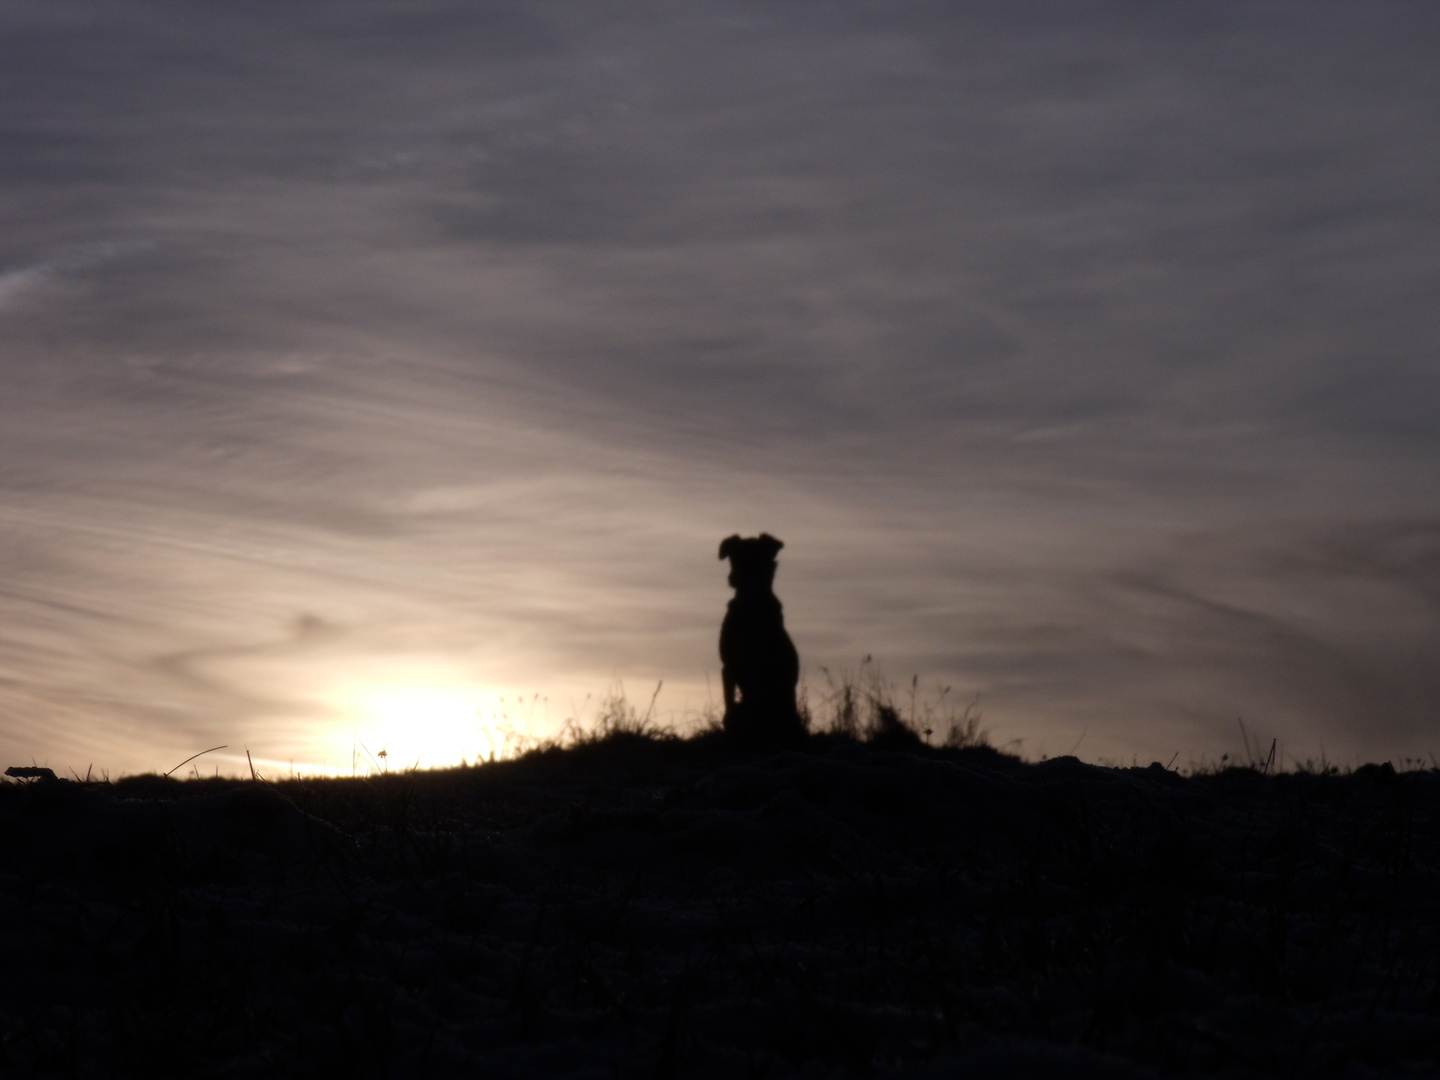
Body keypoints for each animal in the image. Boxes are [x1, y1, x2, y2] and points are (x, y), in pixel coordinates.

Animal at [717, 535, 806, 754]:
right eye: (734, 557)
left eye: (758, 557)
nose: (734, 578)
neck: (751, 605)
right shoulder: (729, 666)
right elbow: (728, 706)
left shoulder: (769, 668)